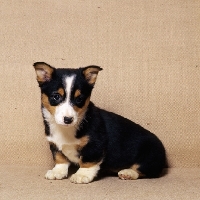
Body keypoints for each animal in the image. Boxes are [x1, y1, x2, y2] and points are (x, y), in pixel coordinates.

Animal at [33, 61, 166, 184]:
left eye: (79, 99)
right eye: (56, 97)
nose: (68, 119)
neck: (65, 129)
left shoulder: (95, 144)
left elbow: (87, 161)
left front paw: (81, 175)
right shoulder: (54, 144)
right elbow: (60, 159)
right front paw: (57, 172)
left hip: (150, 156)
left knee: (145, 170)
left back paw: (128, 172)